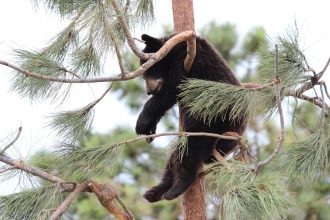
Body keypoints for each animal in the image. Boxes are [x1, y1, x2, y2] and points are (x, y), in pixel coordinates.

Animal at [134, 33, 245, 202]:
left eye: (147, 72)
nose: (148, 91)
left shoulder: (185, 62)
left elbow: (168, 93)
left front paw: (141, 124)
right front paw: (150, 131)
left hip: (211, 120)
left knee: (190, 148)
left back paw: (177, 188)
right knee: (176, 153)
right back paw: (155, 192)